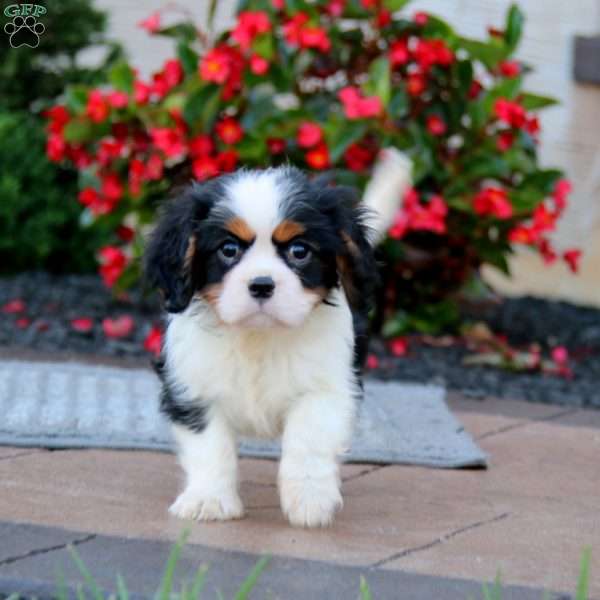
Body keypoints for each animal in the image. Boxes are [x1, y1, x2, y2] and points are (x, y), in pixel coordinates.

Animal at [144, 148, 412, 528]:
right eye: (228, 249)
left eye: (299, 251)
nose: (261, 285)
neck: (259, 336)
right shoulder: (192, 390)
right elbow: (210, 448)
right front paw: (209, 499)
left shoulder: (326, 389)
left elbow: (308, 440)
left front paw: (310, 500)